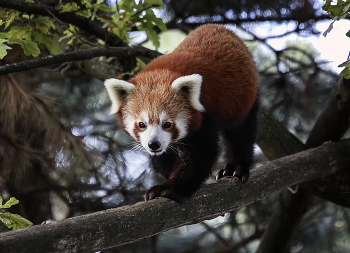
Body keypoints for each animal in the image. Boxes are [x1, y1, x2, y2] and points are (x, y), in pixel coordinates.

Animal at [105, 23, 258, 202]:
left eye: (167, 124)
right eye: (142, 124)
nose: (154, 144)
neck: (163, 71)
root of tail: (221, 27)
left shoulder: (205, 115)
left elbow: (199, 156)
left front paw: (169, 188)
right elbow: (164, 160)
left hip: (244, 99)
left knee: (241, 133)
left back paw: (236, 168)